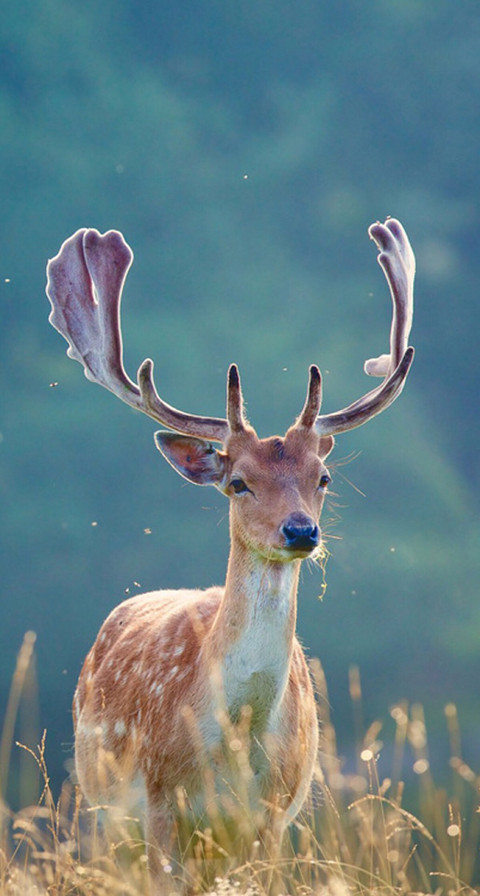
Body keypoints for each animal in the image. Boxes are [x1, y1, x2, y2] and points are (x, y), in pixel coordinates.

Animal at [46, 217, 415, 887]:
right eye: (238, 482)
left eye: (322, 477)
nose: (301, 531)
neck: (234, 747)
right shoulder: (160, 807)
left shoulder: (271, 818)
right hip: (102, 811)